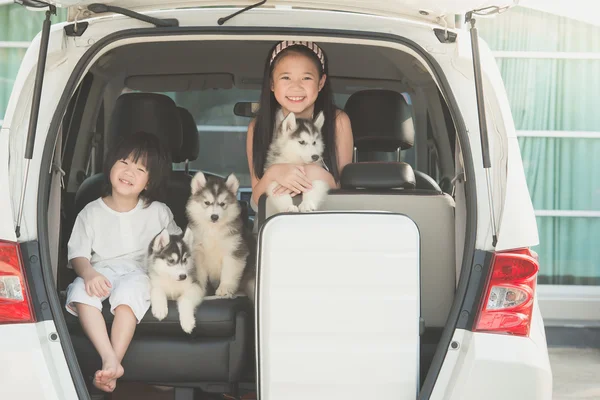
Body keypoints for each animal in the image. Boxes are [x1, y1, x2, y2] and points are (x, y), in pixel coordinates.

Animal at [185, 173, 255, 304]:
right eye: (207, 202)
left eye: (222, 204)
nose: (214, 217)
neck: (213, 230)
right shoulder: (198, 252)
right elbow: (199, 273)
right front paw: (199, 289)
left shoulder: (235, 250)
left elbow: (229, 271)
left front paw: (225, 289)